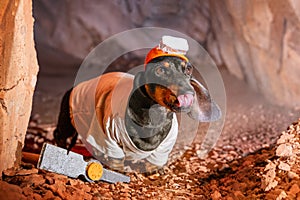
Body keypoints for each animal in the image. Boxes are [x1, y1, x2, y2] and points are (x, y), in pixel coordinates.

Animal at [54, 54, 221, 172]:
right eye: (160, 70)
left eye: (188, 69)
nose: (189, 92)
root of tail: (73, 88)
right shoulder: (108, 137)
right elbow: (116, 159)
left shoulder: (166, 145)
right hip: (68, 123)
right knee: (58, 134)